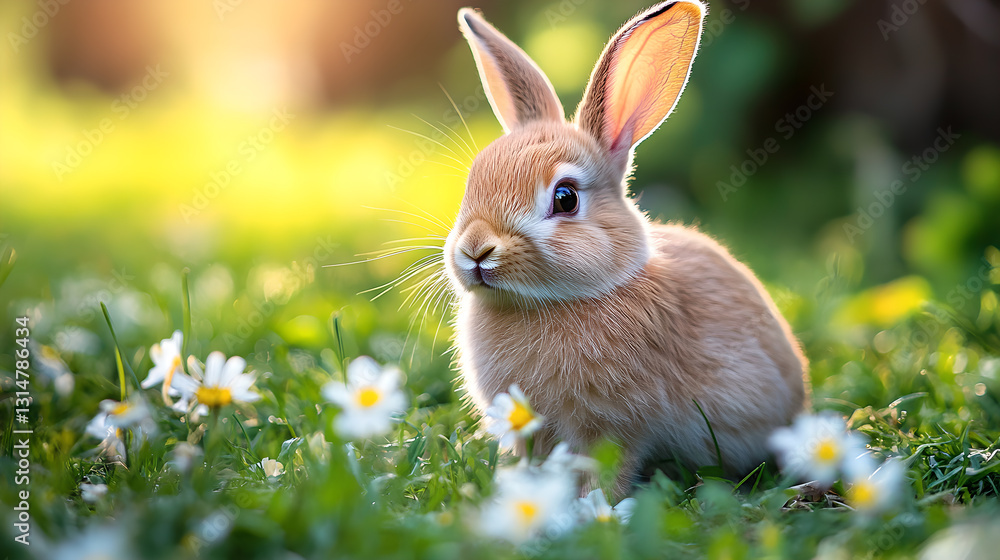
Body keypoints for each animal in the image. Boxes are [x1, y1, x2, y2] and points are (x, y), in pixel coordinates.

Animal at [445, 0, 808, 498]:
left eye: (565, 198)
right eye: (472, 181)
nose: (476, 250)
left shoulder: (614, 427)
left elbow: (608, 470)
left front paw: (591, 508)